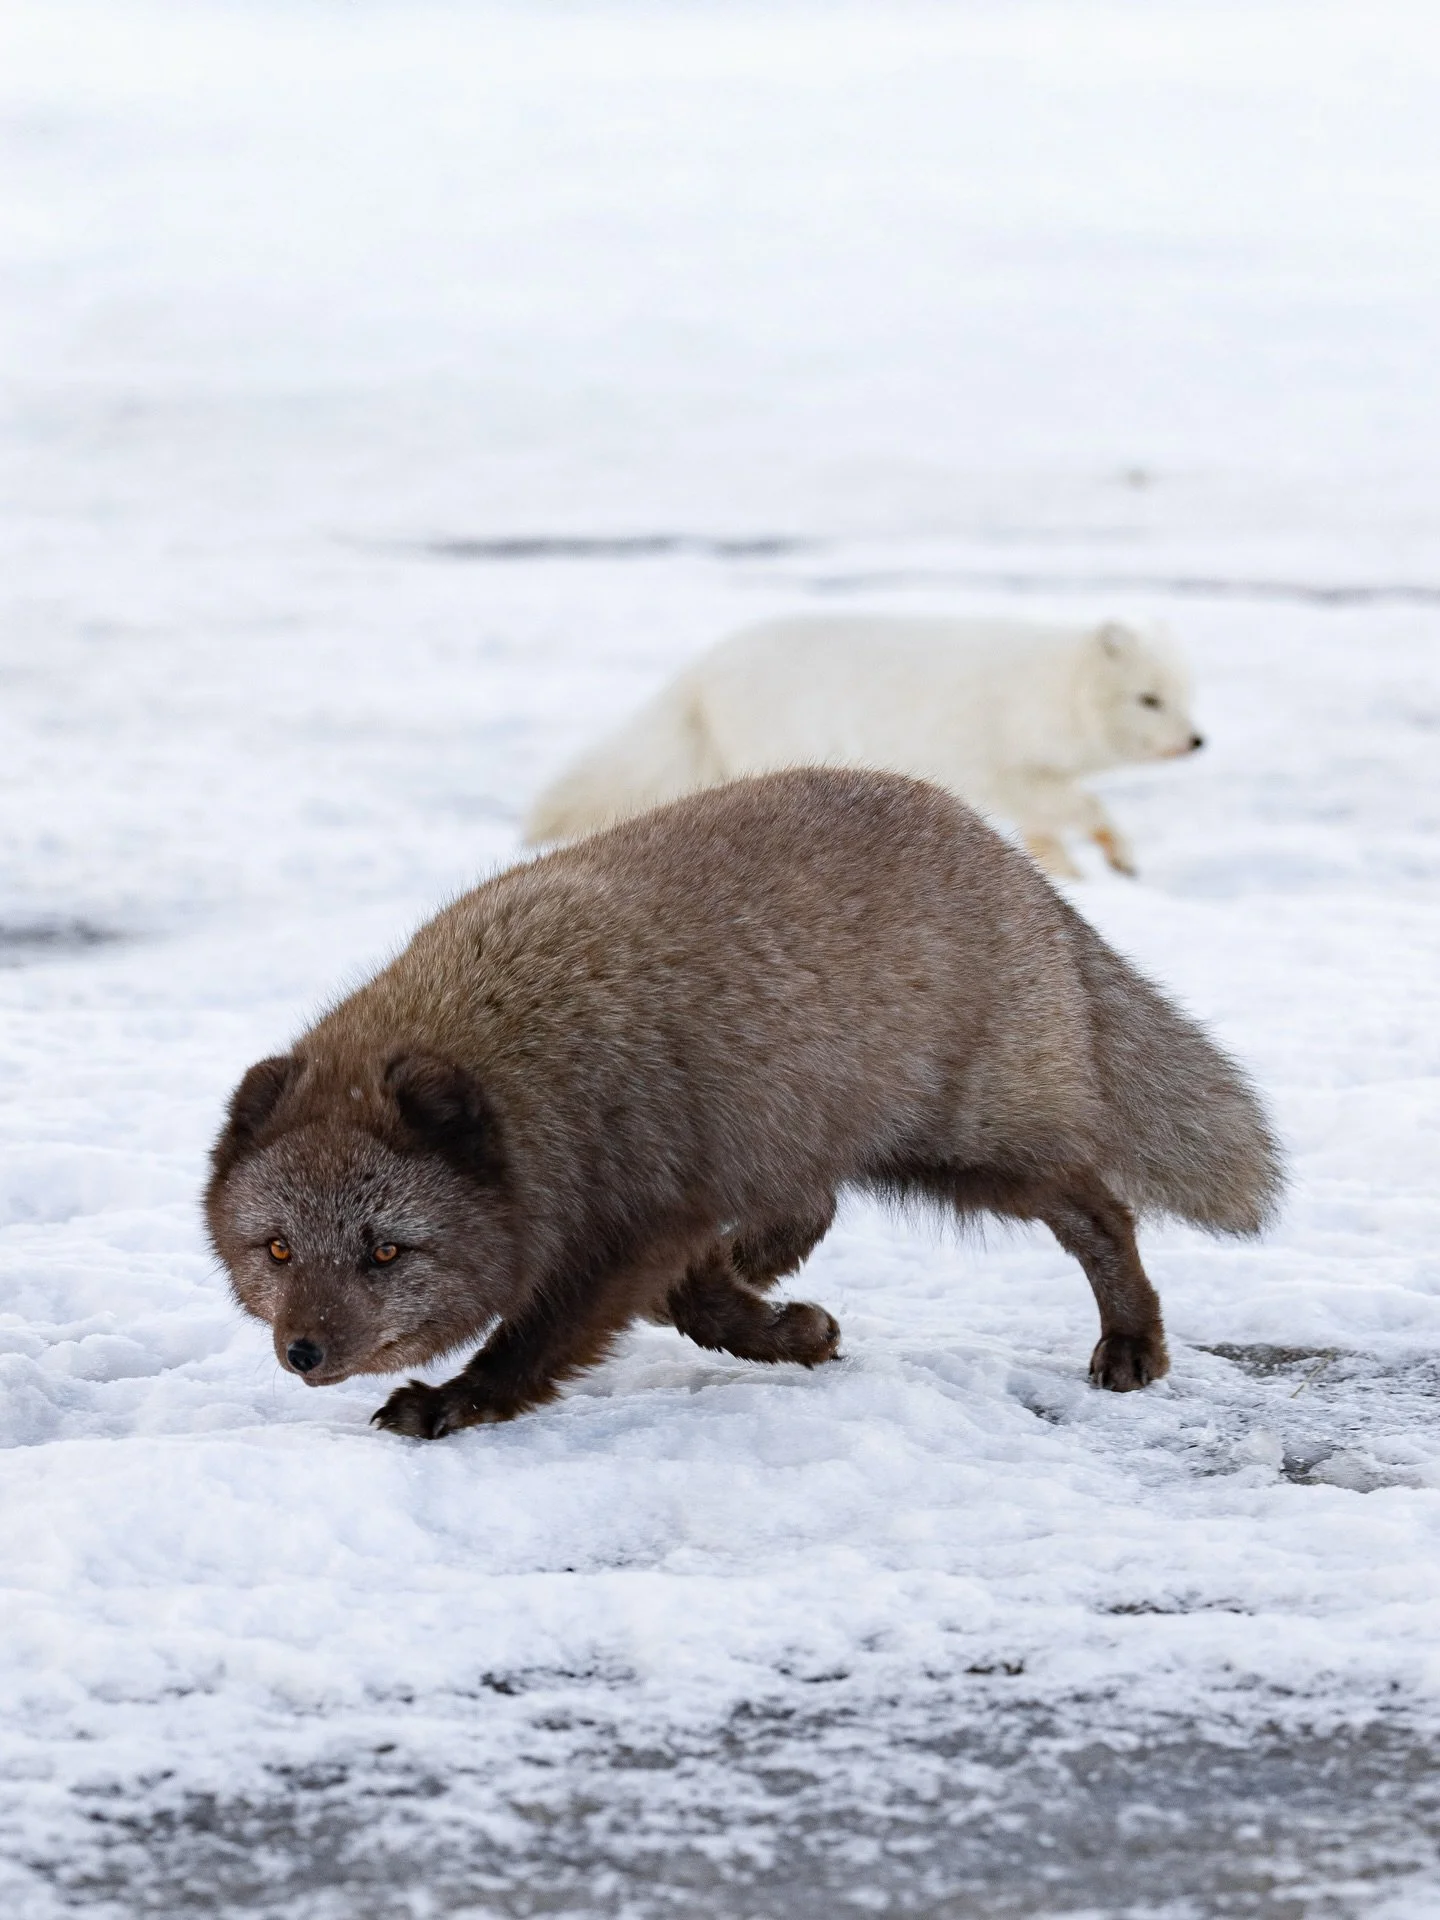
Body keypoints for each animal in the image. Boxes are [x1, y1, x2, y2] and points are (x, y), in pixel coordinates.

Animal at [206, 769, 1280, 1439]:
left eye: (388, 1252)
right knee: (819, 1202)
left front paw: (453, 1405)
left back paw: (1133, 1342)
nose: (302, 1351)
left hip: (970, 1149)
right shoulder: (662, 1214)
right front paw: (794, 1331)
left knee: (1099, 1206)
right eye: (278, 1250)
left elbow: (554, 1337)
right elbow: (691, 1298)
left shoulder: (634, 1220)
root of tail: (1015, 861)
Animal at [523, 615, 1203, 878]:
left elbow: (1048, 828)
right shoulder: (988, 762)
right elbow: (1075, 805)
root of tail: (700, 668)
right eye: (1148, 699)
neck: (1036, 692)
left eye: (1185, 693)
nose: (1196, 741)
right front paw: (1114, 857)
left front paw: (1076, 870)